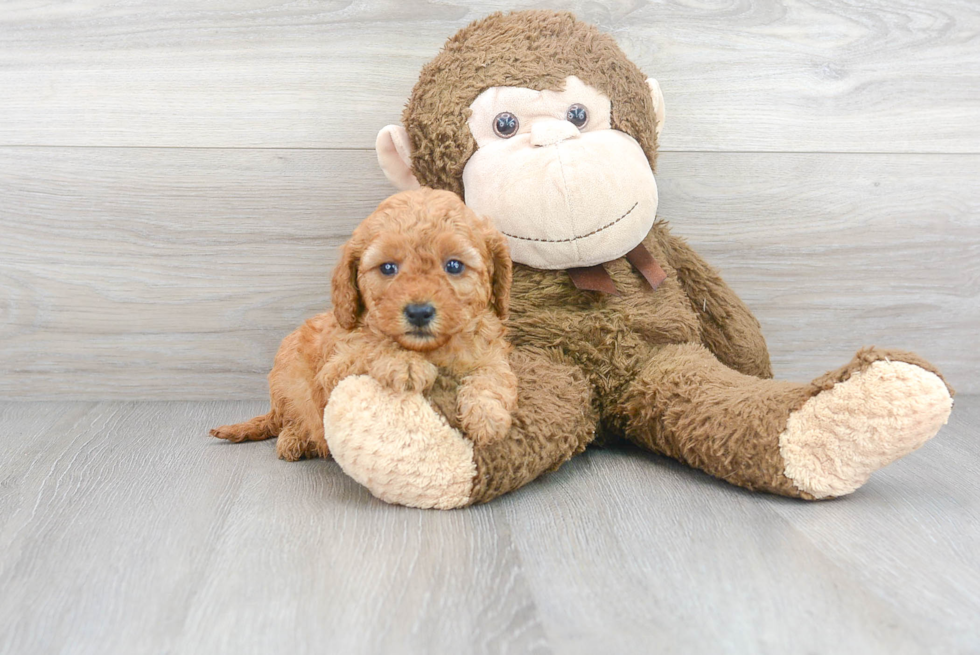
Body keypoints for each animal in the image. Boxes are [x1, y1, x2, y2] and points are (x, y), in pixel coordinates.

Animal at [211, 186, 516, 462]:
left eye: (454, 266)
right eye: (388, 268)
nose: (419, 312)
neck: (430, 349)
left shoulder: (490, 353)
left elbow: (494, 376)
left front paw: (488, 415)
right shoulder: (334, 369)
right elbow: (370, 348)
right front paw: (405, 364)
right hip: (288, 380)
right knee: (292, 418)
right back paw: (294, 439)